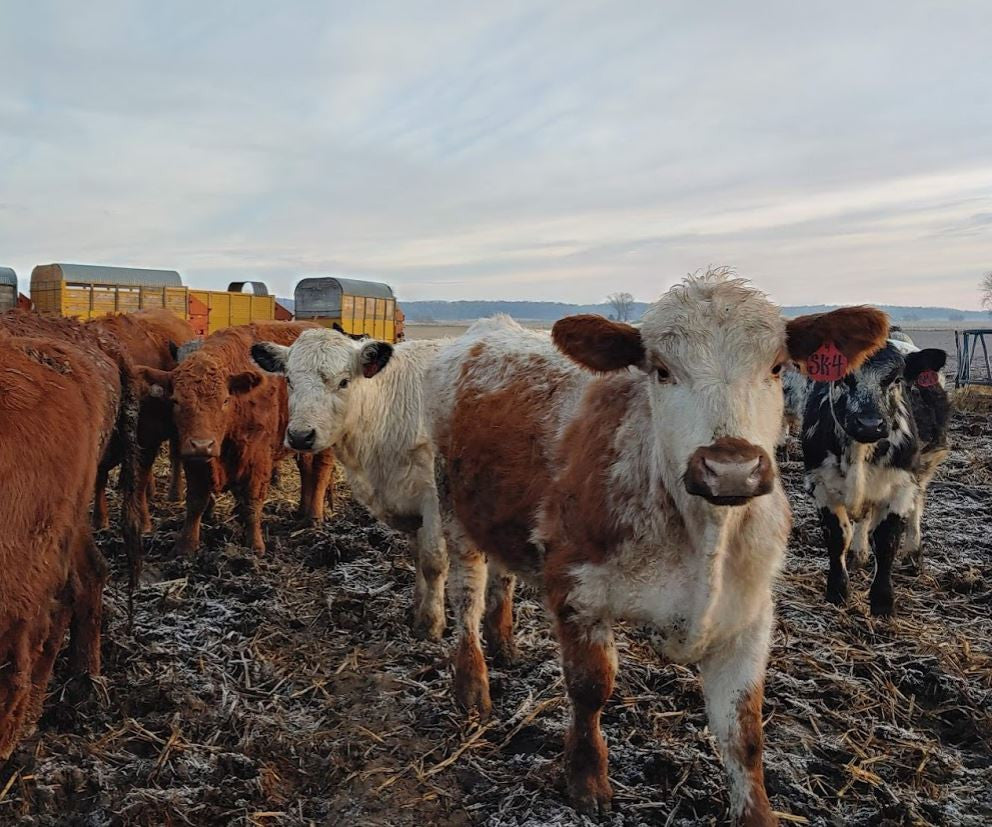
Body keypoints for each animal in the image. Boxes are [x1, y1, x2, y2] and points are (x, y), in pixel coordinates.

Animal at [136, 322, 334, 556]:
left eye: (225, 400)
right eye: (175, 400)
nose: (202, 445)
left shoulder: (257, 458)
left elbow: (252, 501)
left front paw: (255, 545)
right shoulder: (195, 460)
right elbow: (196, 501)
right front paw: (186, 545)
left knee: (321, 471)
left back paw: (313, 517)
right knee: (306, 471)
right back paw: (302, 511)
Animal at [251, 329, 448, 640]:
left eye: (343, 381)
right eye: (289, 380)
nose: (301, 436)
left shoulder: (435, 500)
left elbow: (433, 561)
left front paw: (432, 625)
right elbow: (417, 556)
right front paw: (417, 612)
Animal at [424, 272, 888, 824]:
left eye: (777, 367)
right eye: (662, 370)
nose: (731, 468)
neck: (702, 532)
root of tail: (488, 329)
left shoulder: (751, 614)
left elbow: (744, 732)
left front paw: (757, 812)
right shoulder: (577, 590)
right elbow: (590, 688)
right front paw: (586, 780)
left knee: (502, 573)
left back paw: (503, 641)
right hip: (452, 508)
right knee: (467, 594)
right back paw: (472, 682)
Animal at [802, 334, 951, 616]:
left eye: (896, 379)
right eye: (843, 376)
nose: (869, 424)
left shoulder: (900, 486)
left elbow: (886, 541)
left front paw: (883, 600)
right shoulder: (820, 484)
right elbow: (837, 537)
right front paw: (837, 590)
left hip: (924, 468)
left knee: (917, 507)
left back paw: (913, 554)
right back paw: (858, 553)